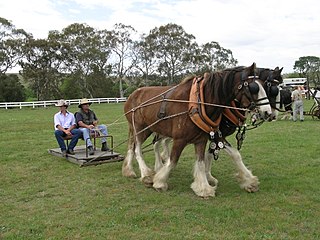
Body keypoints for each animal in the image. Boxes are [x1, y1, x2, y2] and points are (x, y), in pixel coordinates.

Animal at [121, 62, 272, 198]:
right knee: (137, 148)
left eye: (265, 86)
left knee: (138, 145)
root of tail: (132, 95)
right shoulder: (181, 139)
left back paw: (132, 170)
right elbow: (173, 161)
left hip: (152, 129)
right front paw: (159, 182)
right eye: (253, 88)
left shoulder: (204, 138)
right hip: (140, 128)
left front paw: (205, 186)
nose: (268, 113)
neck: (199, 103)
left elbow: (204, 160)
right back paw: (146, 174)